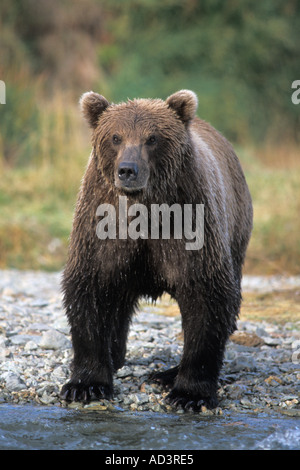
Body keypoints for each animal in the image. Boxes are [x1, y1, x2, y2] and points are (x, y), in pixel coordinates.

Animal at [59, 90, 252, 410]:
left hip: (235, 228)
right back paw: (116, 357)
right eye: (115, 137)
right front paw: (85, 385)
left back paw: (166, 374)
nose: (127, 170)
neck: (146, 209)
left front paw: (190, 394)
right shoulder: (102, 222)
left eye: (152, 138)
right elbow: (91, 287)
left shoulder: (191, 220)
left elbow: (207, 297)